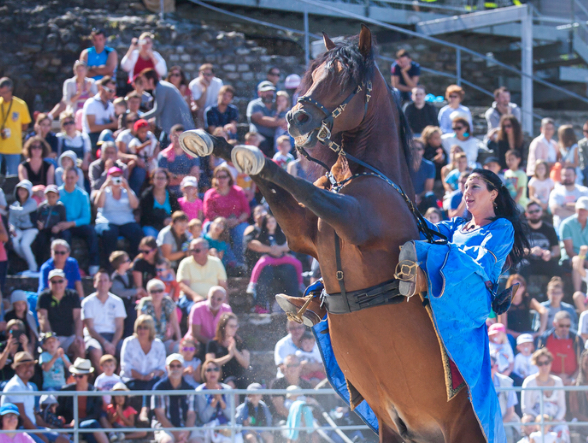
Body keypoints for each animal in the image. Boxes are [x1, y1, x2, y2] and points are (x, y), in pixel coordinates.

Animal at [181, 26, 484, 442]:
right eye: (315, 74)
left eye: (344, 78)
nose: (296, 118)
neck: (364, 176)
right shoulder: (302, 234)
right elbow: (279, 187)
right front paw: (216, 141)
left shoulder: (353, 220)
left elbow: (301, 186)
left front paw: (251, 154)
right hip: (393, 427)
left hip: (458, 429)